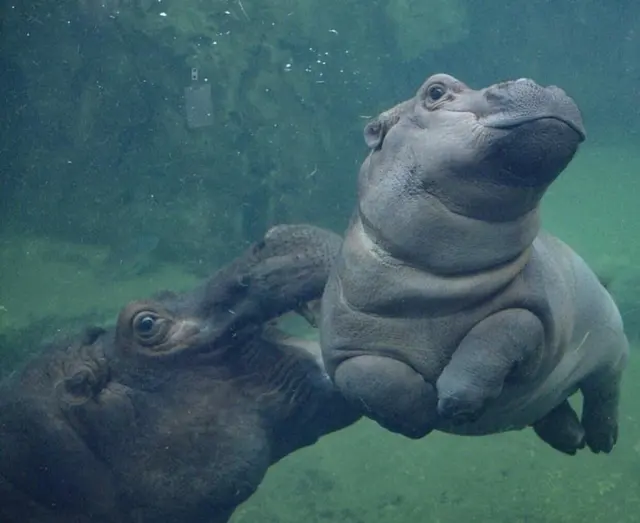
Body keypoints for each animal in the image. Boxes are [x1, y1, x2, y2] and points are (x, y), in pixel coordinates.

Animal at [320, 73, 629, 456]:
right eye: (436, 91)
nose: (536, 82)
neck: (432, 282)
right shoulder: (343, 346)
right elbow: (366, 377)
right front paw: (422, 413)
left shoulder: (538, 310)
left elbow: (499, 332)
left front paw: (454, 402)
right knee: (556, 407)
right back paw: (571, 439)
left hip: (611, 336)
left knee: (605, 387)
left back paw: (602, 441)